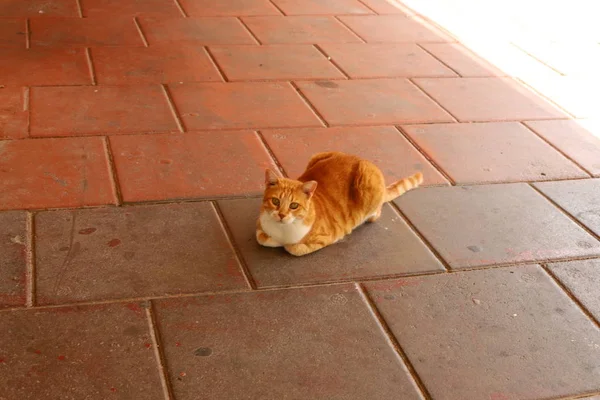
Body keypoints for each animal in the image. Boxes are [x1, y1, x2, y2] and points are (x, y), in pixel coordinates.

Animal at [256, 152, 422, 258]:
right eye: (275, 201)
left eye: (294, 205)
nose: (281, 215)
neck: (282, 230)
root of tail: (360, 158)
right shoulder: (260, 224)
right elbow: (261, 238)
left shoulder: (326, 237)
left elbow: (293, 247)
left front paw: (285, 244)